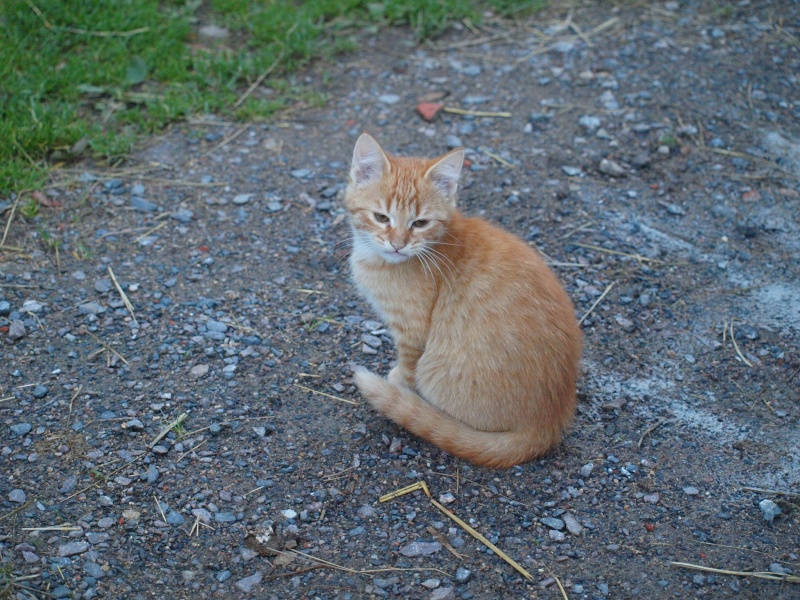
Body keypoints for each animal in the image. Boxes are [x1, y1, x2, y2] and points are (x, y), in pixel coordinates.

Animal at [344, 132, 580, 468]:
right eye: (381, 217)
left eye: (420, 223)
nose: (398, 245)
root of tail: (549, 423)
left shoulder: (412, 331)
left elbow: (407, 364)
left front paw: (397, 381)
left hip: (436, 370)